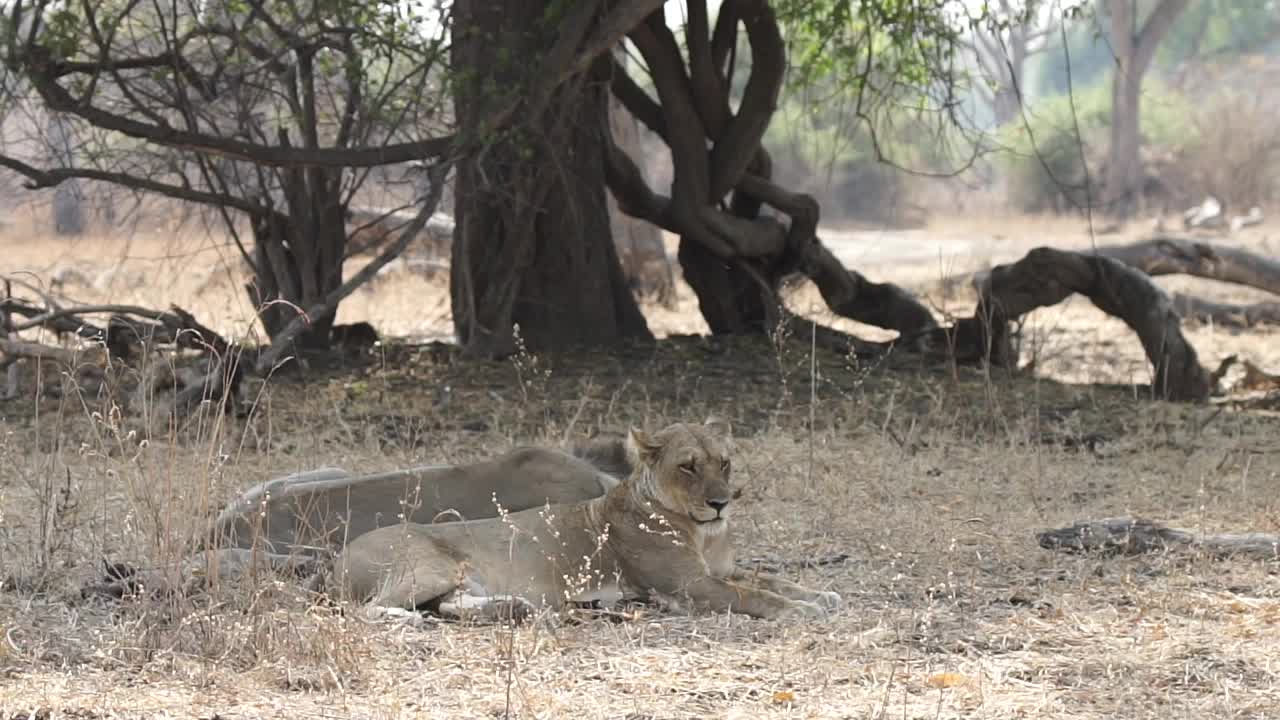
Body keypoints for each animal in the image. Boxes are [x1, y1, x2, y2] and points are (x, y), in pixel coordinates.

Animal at [337, 417, 839, 620]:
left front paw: (821, 595)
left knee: (450, 605)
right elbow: (754, 595)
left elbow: (770, 579)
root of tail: (338, 558)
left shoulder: (721, 570)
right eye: (688, 466)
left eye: (725, 463)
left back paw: (515, 607)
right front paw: (802, 610)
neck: (702, 532)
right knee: (365, 610)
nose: (721, 503)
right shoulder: (688, 587)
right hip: (428, 567)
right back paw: (408, 622)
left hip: (459, 580)